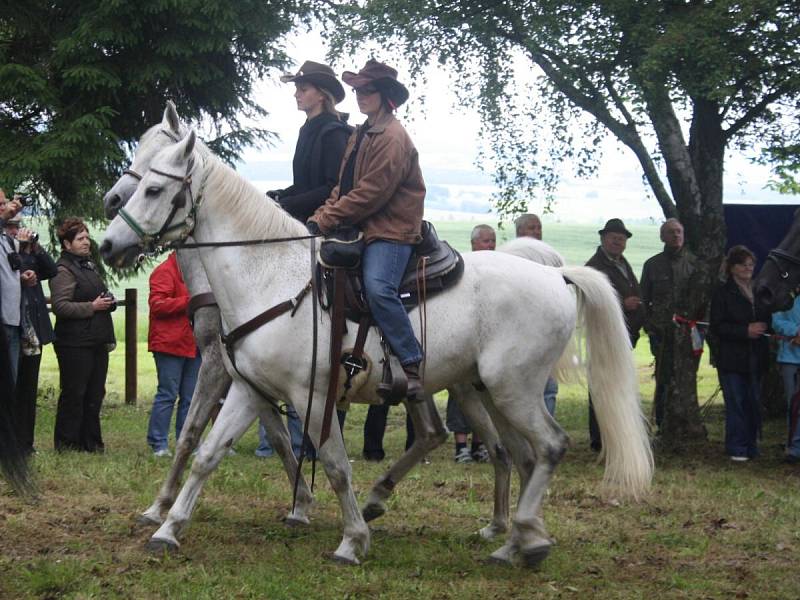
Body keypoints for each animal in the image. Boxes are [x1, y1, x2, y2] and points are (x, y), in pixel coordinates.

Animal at [101, 130, 648, 568]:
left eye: (154, 187)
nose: (108, 242)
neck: (273, 277)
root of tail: (557, 274)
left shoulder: (310, 396)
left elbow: (335, 467)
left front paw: (350, 541)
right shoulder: (249, 389)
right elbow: (207, 452)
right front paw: (167, 527)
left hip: (512, 389)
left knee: (549, 446)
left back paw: (521, 539)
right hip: (490, 391)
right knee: (517, 453)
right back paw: (513, 541)